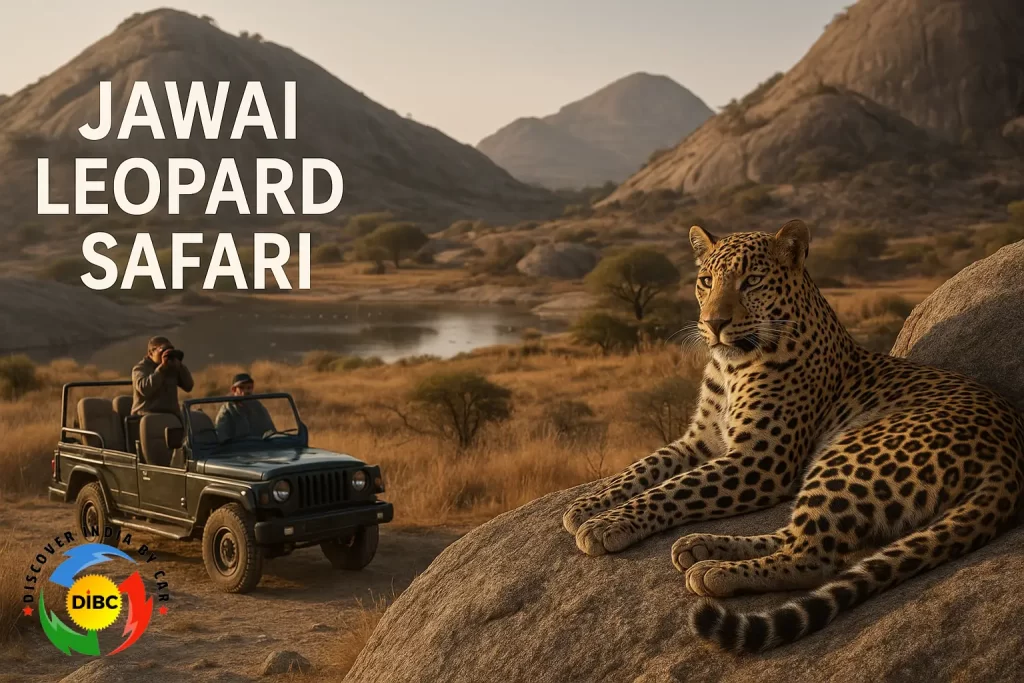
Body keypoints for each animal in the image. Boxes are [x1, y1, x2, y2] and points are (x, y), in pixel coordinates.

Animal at [562, 220, 1024, 652]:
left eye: (751, 281)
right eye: (706, 281)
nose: (714, 323)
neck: (730, 366)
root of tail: (1011, 453)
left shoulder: (760, 460)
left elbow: (673, 489)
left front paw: (606, 524)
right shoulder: (700, 440)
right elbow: (644, 468)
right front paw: (585, 507)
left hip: (848, 455)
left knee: (814, 556)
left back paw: (714, 570)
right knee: (802, 538)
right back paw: (700, 546)